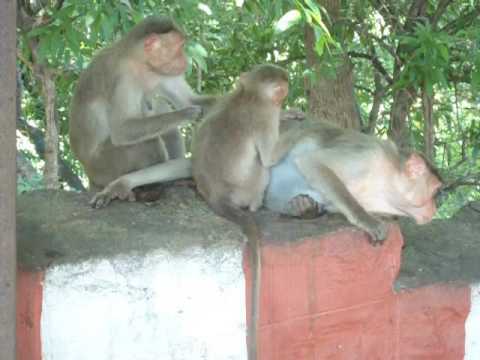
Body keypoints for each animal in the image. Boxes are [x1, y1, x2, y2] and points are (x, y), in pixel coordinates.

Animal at [69, 16, 216, 208]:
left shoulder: (162, 72)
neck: (141, 63)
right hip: (103, 166)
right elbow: (121, 130)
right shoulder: (122, 77)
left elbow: (188, 100)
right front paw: (186, 114)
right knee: (146, 140)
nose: (184, 60)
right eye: (179, 47)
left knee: (163, 117)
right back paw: (149, 189)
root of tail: (88, 172)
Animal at [192, 64, 292, 360]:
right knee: (263, 168)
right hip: (248, 186)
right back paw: (258, 204)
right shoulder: (265, 117)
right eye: (278, 82)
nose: (286, 85)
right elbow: (269, 156)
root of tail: (215, 196)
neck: (250, 95)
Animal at [264, 120, 440, 245]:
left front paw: (301, 206)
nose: (435, 208)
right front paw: (367, 220)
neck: (386, 180)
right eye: (435, 192)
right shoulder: (368, 155)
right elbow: (312, 161)